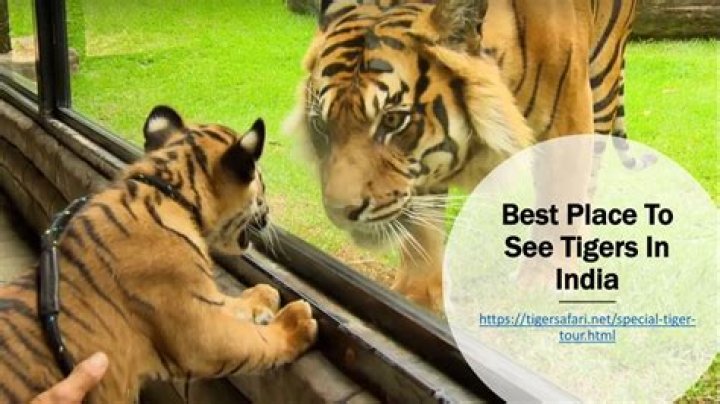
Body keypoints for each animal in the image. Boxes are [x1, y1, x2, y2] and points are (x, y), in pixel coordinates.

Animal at [0, 106, 317, 403]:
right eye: (261, 183)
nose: (269, 212)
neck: (172, 191)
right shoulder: (202, 333)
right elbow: (256, 342)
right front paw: (296, 323)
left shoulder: (201, 297)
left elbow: (232, 302)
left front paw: (264, 294)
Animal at [285, 0, 640, 311]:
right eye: (321, 125)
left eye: (392, 120)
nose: (340, 213)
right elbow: (424, 224)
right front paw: (418, 294)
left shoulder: (569, 119)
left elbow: (563, 199)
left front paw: (541, 283)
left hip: (603, 82)